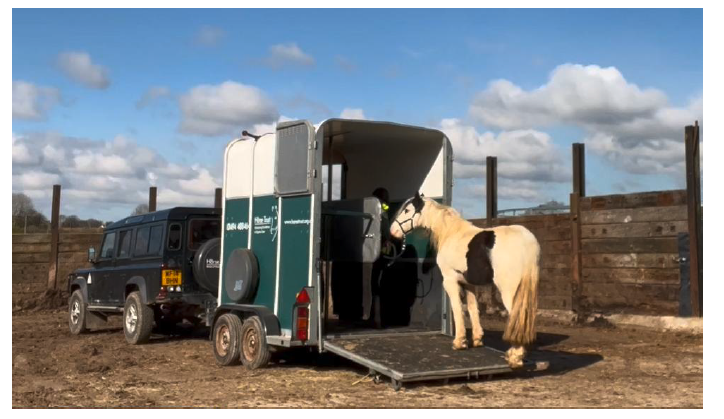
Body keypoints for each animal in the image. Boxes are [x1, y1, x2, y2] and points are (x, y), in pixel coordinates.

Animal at [389, 192, 540, 368]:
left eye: (407, 210)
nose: (393, 231)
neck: (451, 234)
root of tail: (527, 240)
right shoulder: (469, 284)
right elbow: (473, 309)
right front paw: (477, 339)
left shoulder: (450, 280)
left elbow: (457, 308)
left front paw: (459, 342)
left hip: (510, 291)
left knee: (517, 317)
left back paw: (514, 357)